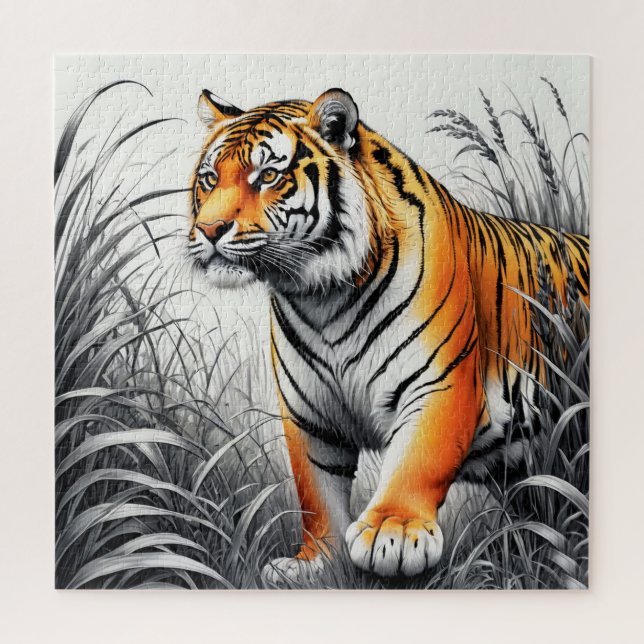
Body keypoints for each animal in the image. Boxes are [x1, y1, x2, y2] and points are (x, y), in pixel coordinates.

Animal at [188, 87, 590, 581]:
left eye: (267, 176)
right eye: (209, 178)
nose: (209, 229)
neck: (323, 299)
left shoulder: (440, 384)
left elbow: (417, 461)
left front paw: (393, 533)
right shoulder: (309, 414)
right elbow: (316, 492)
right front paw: (318, 562)